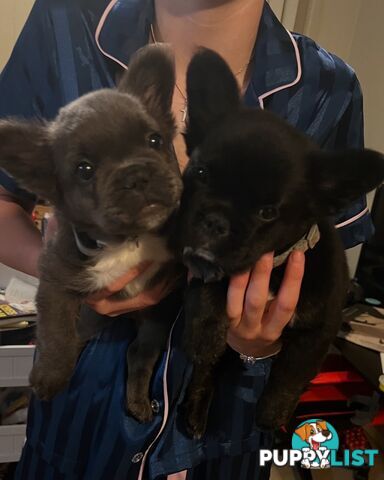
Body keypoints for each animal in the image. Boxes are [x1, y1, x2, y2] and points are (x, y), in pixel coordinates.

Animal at [0, 44, 182, 420]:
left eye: (154, 140)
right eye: (85, 170)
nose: (135, 175)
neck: (127, 241)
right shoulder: (56, 282)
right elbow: (56, 332)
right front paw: (50, 376)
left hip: (156, 319)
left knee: (140, 354)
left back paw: (138, 401)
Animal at [177, 49, 384, 438]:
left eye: (268, 212)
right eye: (200, 173)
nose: (215, 220)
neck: (272, 266)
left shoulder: (316, 334)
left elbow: (289, 377)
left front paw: (272, 420)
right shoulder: (208, 264)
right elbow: (209, 297)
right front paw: (205, 334)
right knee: (205, 374)